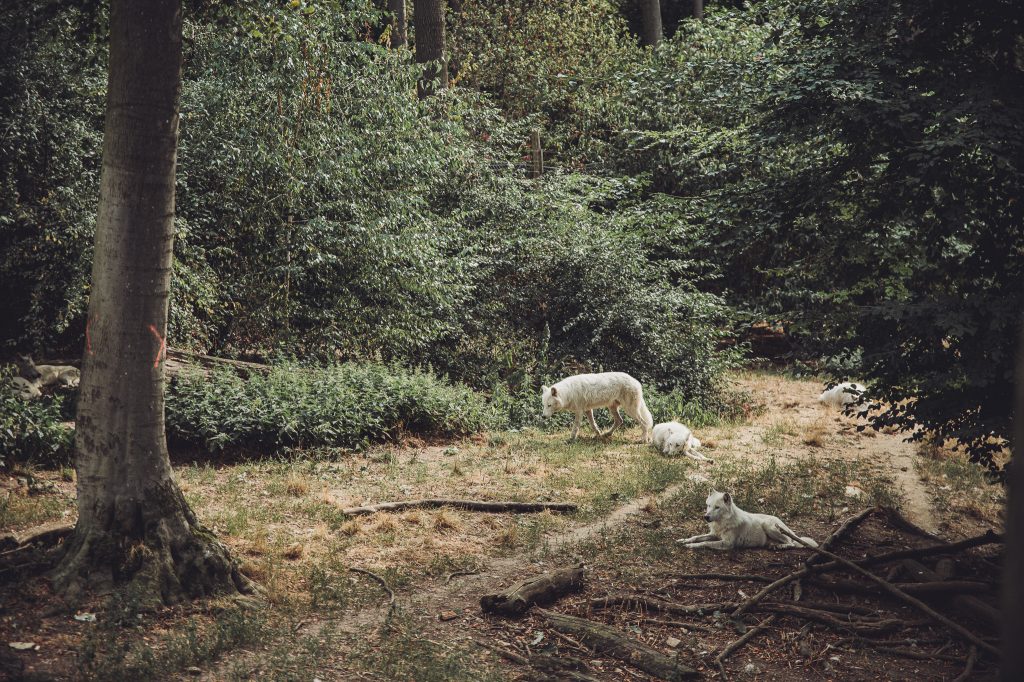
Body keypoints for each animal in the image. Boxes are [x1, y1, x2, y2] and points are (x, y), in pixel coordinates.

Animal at [677, 490, 818, 550]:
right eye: (708, 506)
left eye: (717, 507)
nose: (706, 517)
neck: (723, 522)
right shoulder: (714, 534)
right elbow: (696, 537)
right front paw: (683, 540)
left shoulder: (728, 544)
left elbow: (704, 543)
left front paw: (691, 546)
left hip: (769, 526)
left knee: (791, 543)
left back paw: (780, 546)